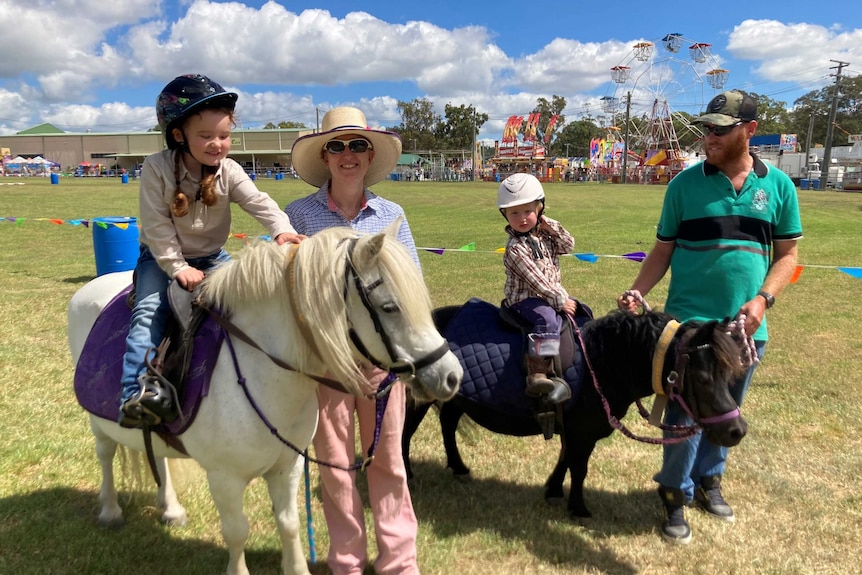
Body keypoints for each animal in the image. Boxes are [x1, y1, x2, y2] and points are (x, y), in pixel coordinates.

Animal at [68, 224, 466, 575]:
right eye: (389, 307)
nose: (451, 375)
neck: (261, 368)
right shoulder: (224, 477)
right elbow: (236, 531)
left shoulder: (287, 466)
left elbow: (289, 523)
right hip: (98, 422)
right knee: (105, 454)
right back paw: (110, 511)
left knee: (160, 458)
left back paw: (171, 509)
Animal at [404, 300, 748, 520]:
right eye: (703, 378)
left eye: (731, 374)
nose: (737, 431)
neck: (604, 361)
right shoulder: (583, 432)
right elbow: (579, 467)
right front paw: (578, 508)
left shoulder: (572, 428)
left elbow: (565, 459)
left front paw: (554, 490)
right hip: (420, 397)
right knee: (405, 432)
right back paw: (407, 475)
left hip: (454, 398)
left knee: (448, 422)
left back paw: (459, 467)